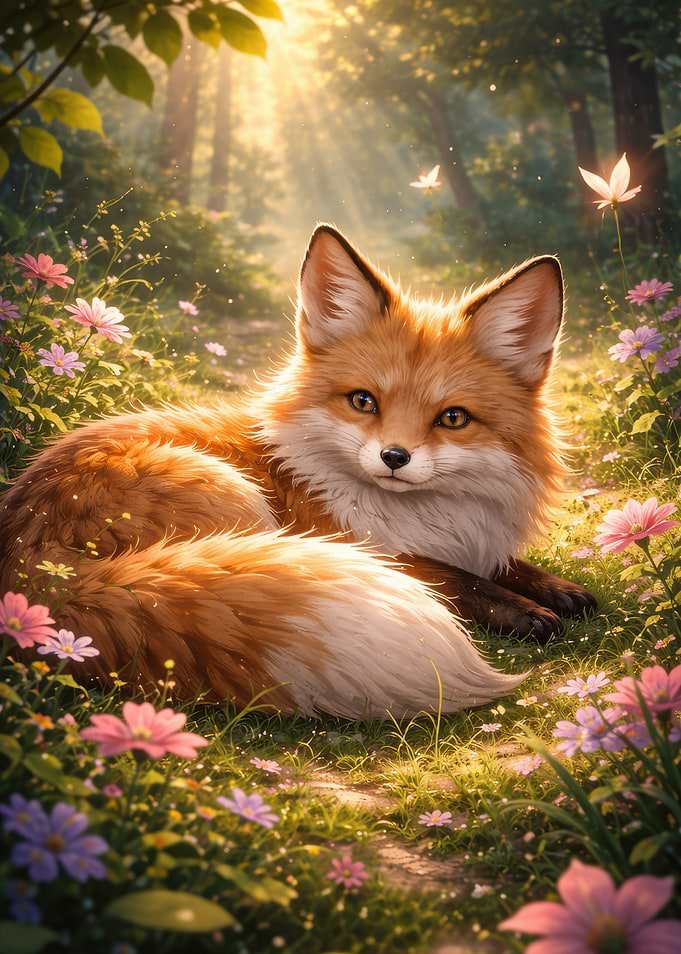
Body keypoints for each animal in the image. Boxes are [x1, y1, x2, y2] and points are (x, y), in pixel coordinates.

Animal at [0, 225, 597, 719]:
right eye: (363, 401)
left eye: (453, 418)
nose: (394, 458)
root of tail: (34, 571)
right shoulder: (354, 543)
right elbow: (452, 578)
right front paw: (522, 609)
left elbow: (502, 567)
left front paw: (556, 588)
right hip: (236, 500)